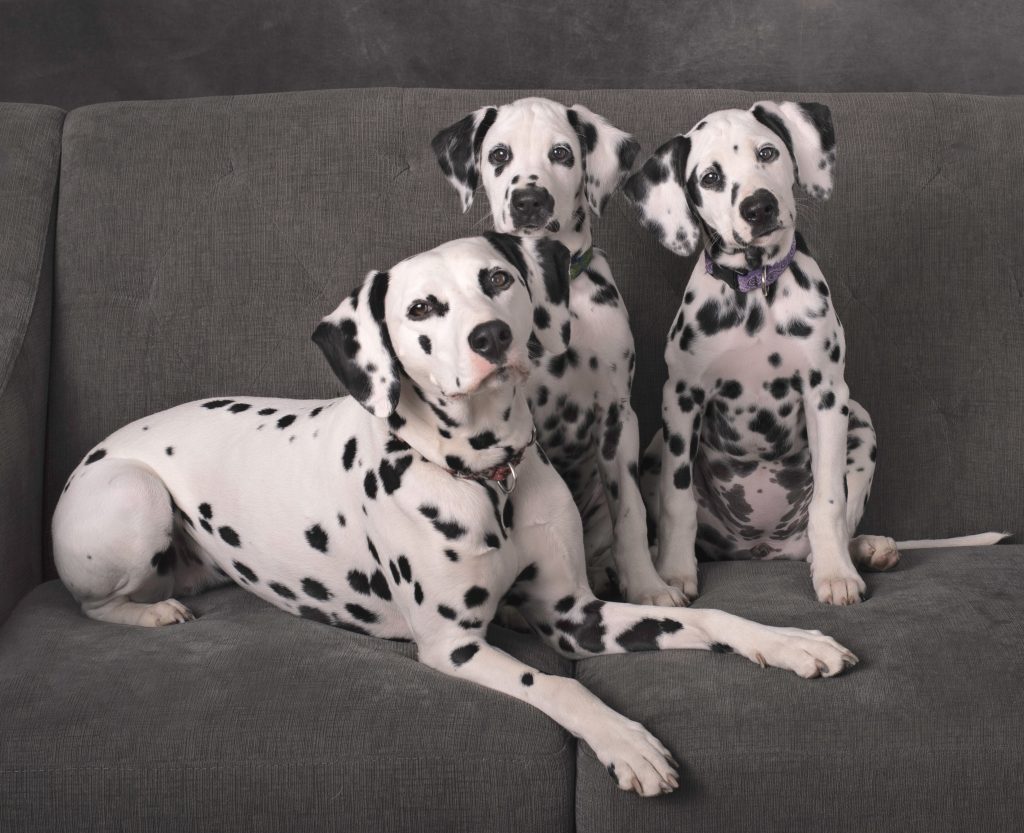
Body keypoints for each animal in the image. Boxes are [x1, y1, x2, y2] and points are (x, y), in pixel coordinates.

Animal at [54, 233, 856, 799]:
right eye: (420, 309)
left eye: (495, 280)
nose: (490, 338)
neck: (488, 475)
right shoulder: (455, 645)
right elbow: (558, 684)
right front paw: (626, 741)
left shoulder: (579, 614)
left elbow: (711, 619)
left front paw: (789, 642)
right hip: (135, 498)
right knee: (91, 602)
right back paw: (151, 612)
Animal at [428, 97, 684, 602]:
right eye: (499, 155)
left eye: (561, 154)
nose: (529, 200)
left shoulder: (617, 417)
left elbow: (631, 514)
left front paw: (647, 586)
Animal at [618, 102, 1003, 602]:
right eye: (710, 177)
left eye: (767, 152)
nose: (759, 207)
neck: (758, 290)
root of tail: (760, 548)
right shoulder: (681, 400)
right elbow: (676, 499)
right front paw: (673, 573)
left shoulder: (827, 396)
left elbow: (830, 501)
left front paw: (836, 574)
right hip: (656, 444)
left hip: (861, 423)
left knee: (837, 523)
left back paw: (863, 550)